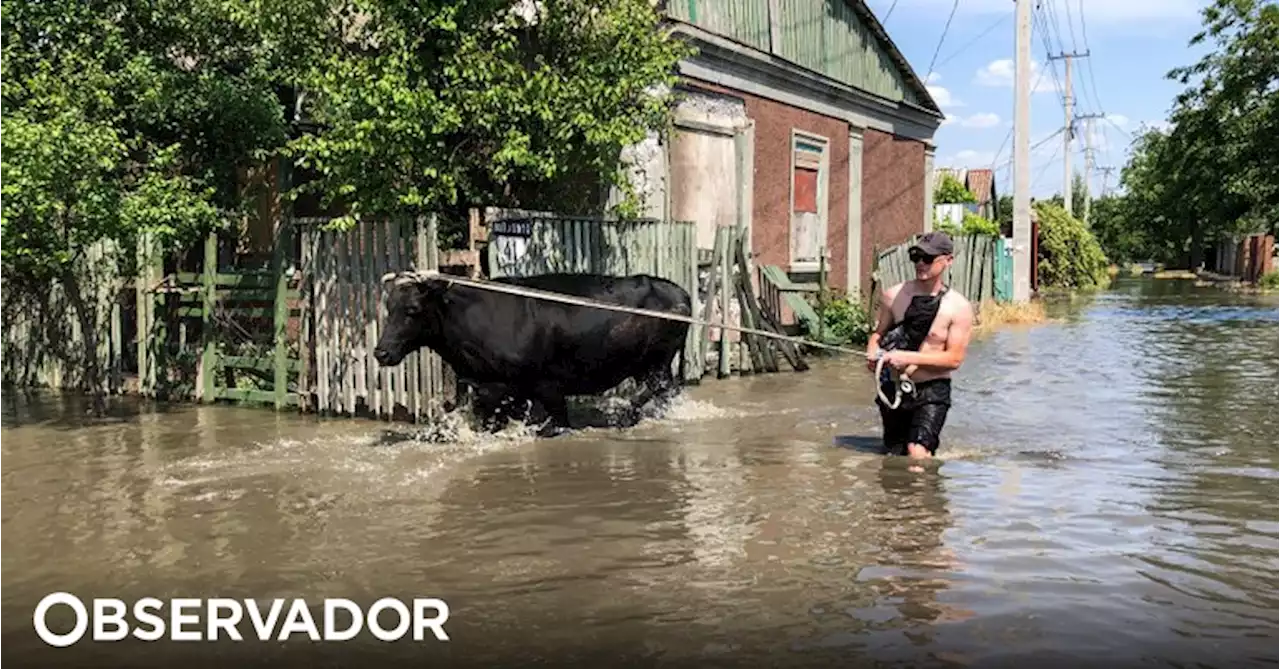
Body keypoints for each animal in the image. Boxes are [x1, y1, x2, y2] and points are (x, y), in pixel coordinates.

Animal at [371, 272, 691, 440]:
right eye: (389, 308)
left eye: (412, 310)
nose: (381, 352)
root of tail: (679, 292)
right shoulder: (491, 390)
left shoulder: (546, 386)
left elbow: (556, 423)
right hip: (647, 365)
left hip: (657, 362)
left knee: (656, 389)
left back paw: (624, 416)